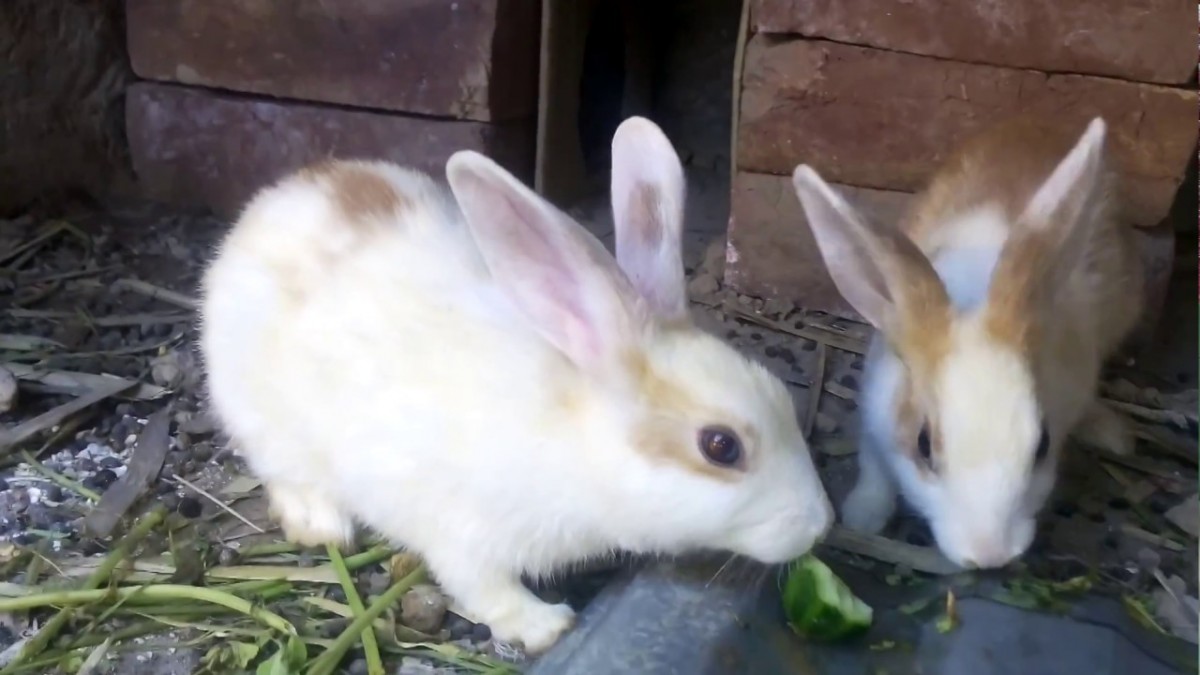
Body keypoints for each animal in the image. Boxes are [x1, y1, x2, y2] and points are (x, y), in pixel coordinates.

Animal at [198, 116, 834, 654]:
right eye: (721, 446)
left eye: (785, 398)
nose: (819, 525)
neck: (575, 436)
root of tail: (273, 202)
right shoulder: (463, 534)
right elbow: (484, 588)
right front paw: (546, 627)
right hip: (263, 420)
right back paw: (321, 524)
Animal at [789, 116, 1143, 570]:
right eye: (923, 445)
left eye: (1042, 445)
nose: (988, 554)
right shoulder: (875, 412)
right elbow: (874, 468)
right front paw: (863, 517)